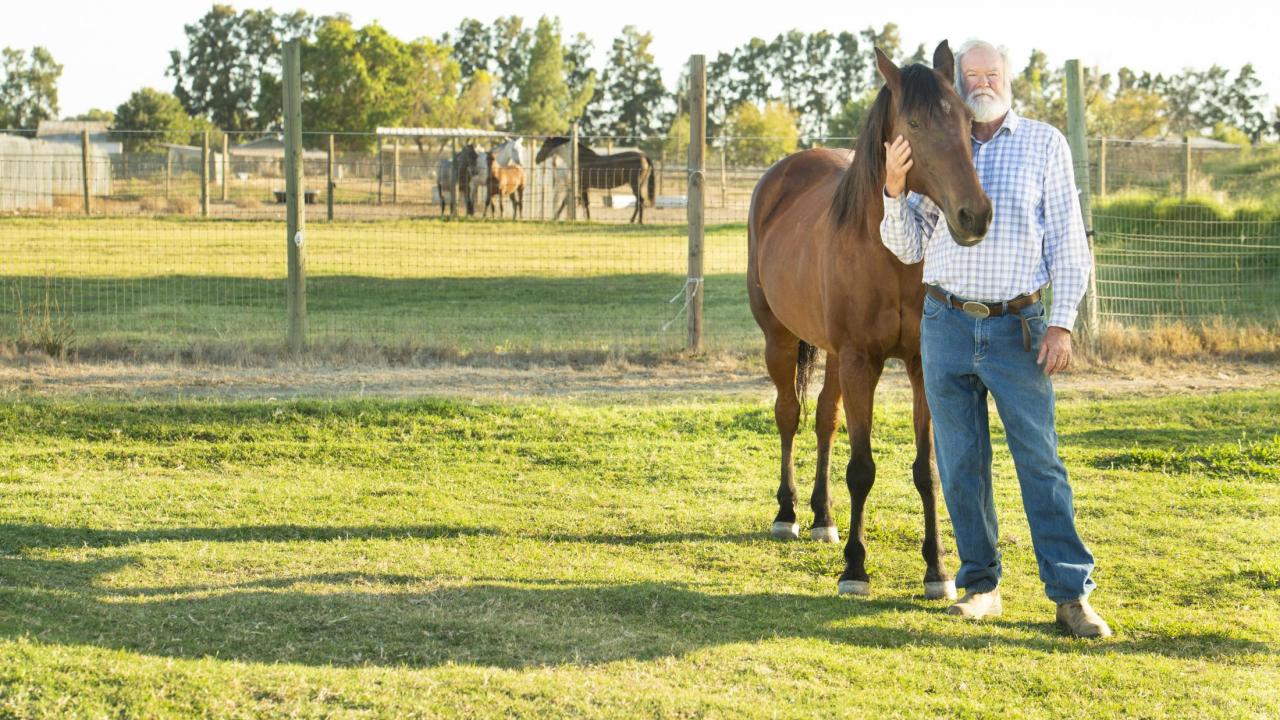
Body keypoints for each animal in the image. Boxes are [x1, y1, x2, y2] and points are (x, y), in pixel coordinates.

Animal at [747, 41, 993, 597]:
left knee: (824, 419)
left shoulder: (921, 365)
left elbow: (927, 470)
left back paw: (822, 517)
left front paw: (936, 569)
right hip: (781, 339)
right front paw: (856, 569)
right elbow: (861, 467)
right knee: (789, 414)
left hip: (835, 356)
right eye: (916, 124)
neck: (889, 252)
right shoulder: (863, 360)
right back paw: (788, 513)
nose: (975, 215)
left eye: (967, 118)